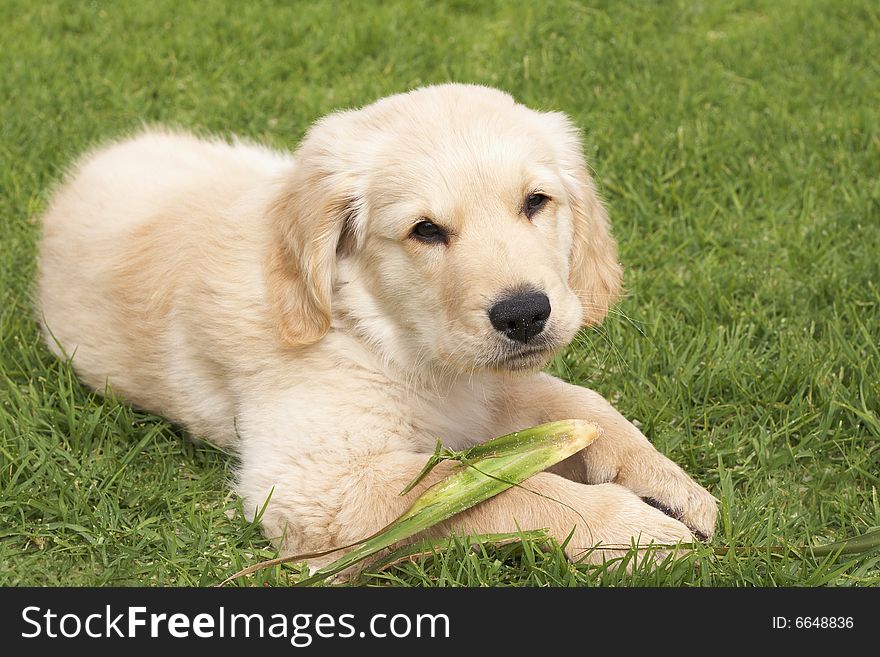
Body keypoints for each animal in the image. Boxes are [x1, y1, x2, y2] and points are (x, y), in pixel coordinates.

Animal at [37, 83, 720, 568]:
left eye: (536, 202)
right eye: (426, 231)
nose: (525, 314)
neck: (380, 332)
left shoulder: (486, 385)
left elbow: (582, 405)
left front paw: (668, 482)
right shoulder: (316, 482)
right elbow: (490, 484)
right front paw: (628, 529)